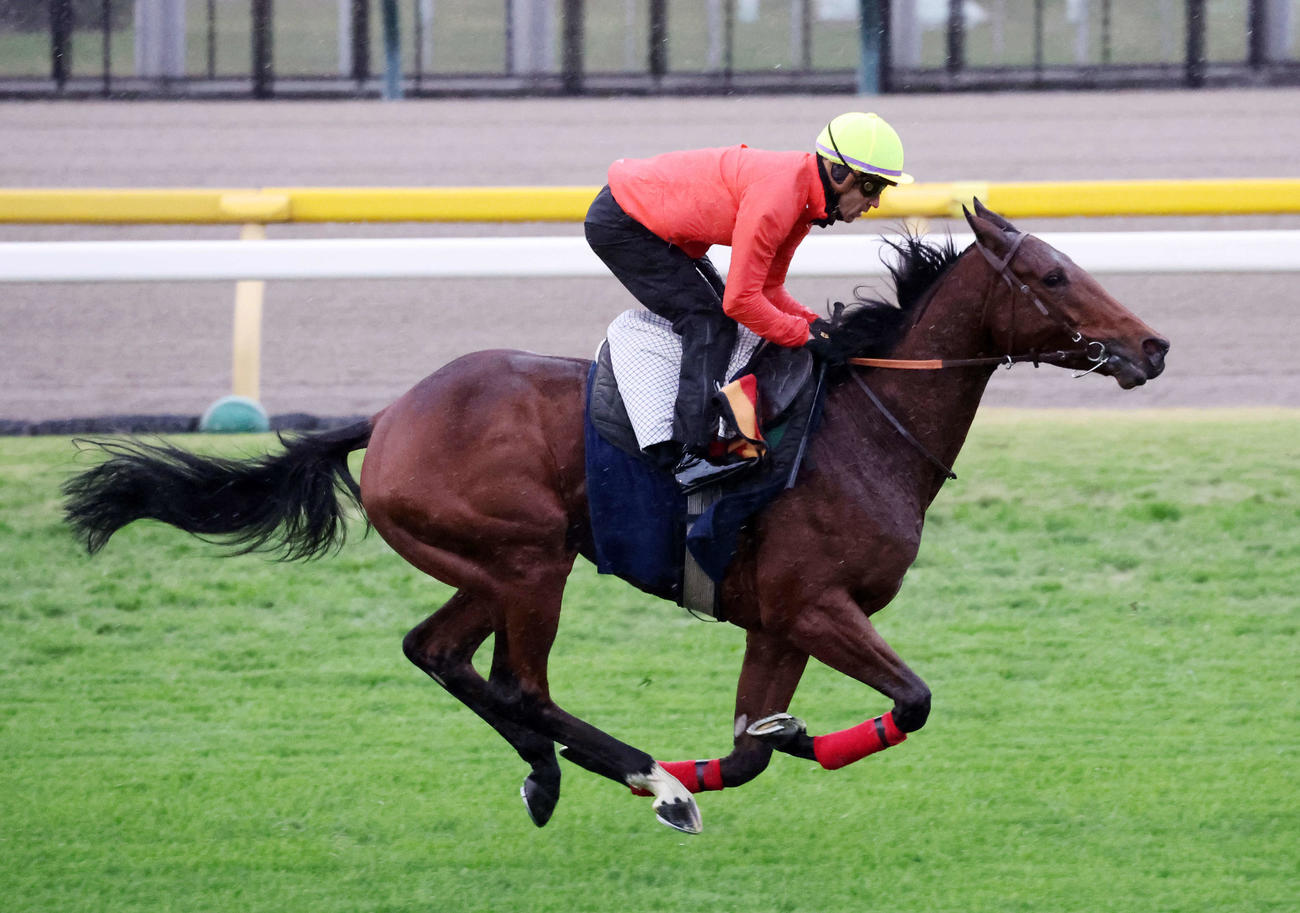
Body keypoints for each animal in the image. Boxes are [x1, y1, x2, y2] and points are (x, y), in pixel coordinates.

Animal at [63, 202, 1169, 835]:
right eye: (1054, 274)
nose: (1153, 346)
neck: (862, 421)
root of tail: (389, 416)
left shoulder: (775, 621)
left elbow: (755, 744)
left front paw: (753, 745)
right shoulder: (816, 605)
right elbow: (915, 698)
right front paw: (713, 767)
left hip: (487, 565)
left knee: (440, 653)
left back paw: (559, 777)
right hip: (528, 558)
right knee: (519, 681)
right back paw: (645, 780)